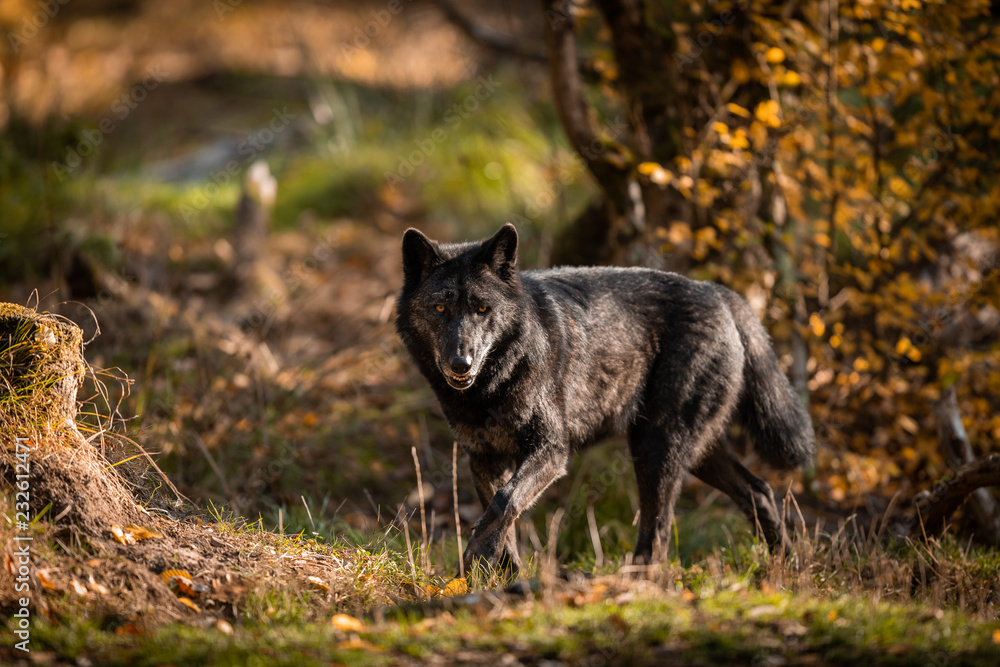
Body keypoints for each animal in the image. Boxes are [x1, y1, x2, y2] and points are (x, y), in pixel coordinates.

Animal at [394, 224, 816, 576]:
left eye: (483, 309)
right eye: (440, 308)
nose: (460, 363)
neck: (491, 387)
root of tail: (717, 291)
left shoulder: (552, 449)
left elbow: (505, 502)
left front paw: (475, 563)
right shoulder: (483, 458)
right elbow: (503, 518)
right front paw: (500, 578)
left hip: (656, 449)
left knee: (660, 530)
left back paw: (639, 583)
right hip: (694, 452)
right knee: (758, 491)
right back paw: (788, 567)